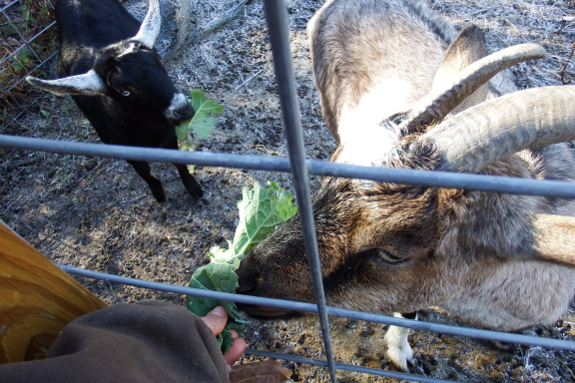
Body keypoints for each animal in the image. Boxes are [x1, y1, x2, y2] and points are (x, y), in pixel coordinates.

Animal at [27, 0, 202, 204]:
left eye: (158, 60)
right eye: (124, 91)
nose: (183, 109)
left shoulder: (168, 133)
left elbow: (177, 160)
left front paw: (193, 187)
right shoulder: (122, 148)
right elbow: (144, 171)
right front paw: (159, 193)